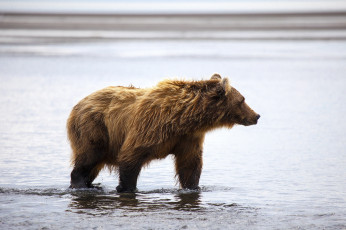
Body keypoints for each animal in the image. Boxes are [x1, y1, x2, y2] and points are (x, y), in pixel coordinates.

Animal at [67, 73, 260, 192]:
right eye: (242, 100)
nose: (256, 115)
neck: (184, 119)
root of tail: (78, 104)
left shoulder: (188, 138)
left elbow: (190, 165)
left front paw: (192, 187)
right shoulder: (149, 127)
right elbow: (131, 156)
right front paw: (127, 188)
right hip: (94, 127)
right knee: (88, 158)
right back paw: (80, 184)